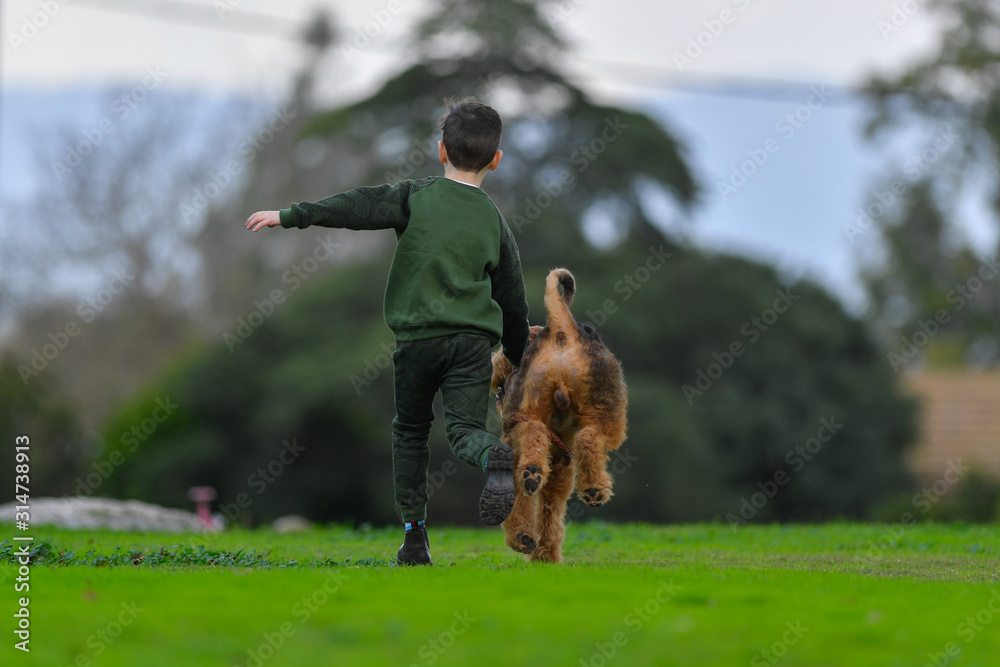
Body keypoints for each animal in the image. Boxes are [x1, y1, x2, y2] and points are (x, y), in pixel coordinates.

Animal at [490, 268, 624, 560]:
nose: (494, 378)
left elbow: (530, 507)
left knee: (536, 433)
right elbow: (549, 511)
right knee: (587, 438)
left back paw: (533, 473)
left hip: (533, 413)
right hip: (607, 420)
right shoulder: (561, 470)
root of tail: (562, 330)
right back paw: (593, 487)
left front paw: (527, 542)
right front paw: (544, 553)